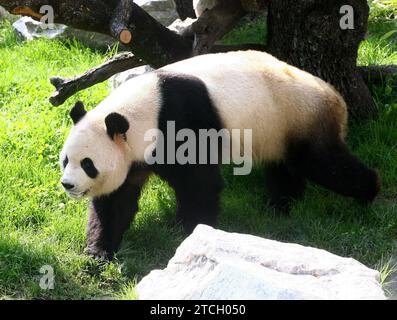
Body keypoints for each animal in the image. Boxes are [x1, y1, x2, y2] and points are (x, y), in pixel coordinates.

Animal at [58, 50, 378, 260]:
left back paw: (368, 192)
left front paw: (189, 230)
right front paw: (98, 251)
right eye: (65, 160)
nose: (67, 184)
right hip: (277, 129)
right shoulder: (134, 153)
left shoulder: (181, 120)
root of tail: (336, 97)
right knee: (285, 167)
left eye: (88, 164)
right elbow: (116, 200)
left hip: (297, 115)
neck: (143, 110)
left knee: (323, 162)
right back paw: (281, 204)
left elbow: (199, 182)